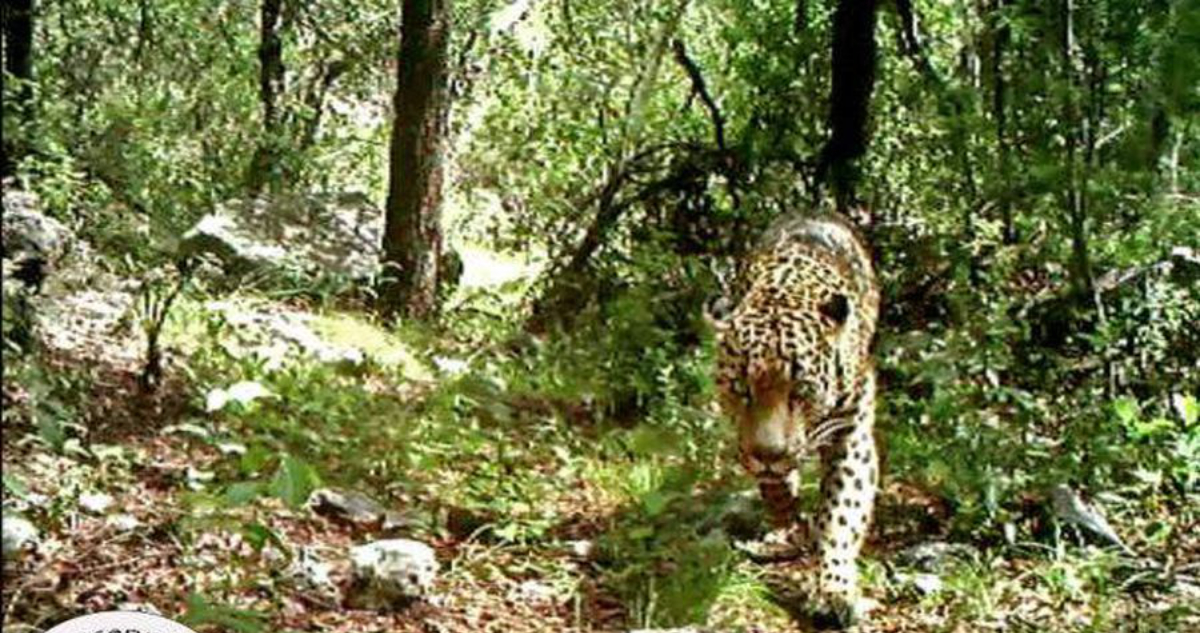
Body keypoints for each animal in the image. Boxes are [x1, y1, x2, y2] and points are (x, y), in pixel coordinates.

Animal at [716, 211, 880, 628]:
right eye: (741, 389)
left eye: (799, 391)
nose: (767, 454)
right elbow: (777, 491)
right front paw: (787, 527)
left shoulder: (852, 434)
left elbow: (841, 512)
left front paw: (833, 588)